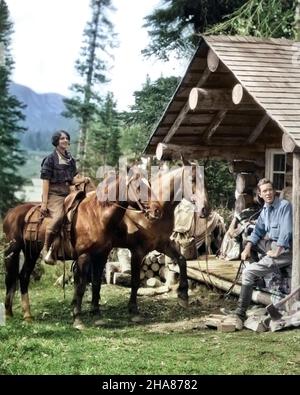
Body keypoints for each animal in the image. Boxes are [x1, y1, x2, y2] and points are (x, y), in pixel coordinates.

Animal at [2, 172, 162, 324]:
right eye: (139, 187)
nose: (157, 210)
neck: (97, 216)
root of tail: (10, 213)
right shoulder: (84, 256)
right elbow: (81, 286)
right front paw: (78, 319)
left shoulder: (101, 255)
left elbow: (96, 284)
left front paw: (96, 314)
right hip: (13, 251)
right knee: (10, 278)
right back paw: (9, 313)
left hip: (32, 252)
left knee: (23, 276)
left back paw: (27, 315)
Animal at [73, 164, 209, 328]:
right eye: (192, 179)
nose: (205, 209)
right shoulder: (138, 251)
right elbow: (135, 280)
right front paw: (133, 310)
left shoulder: (163, 244)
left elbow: (182, 261)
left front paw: (183, 296)